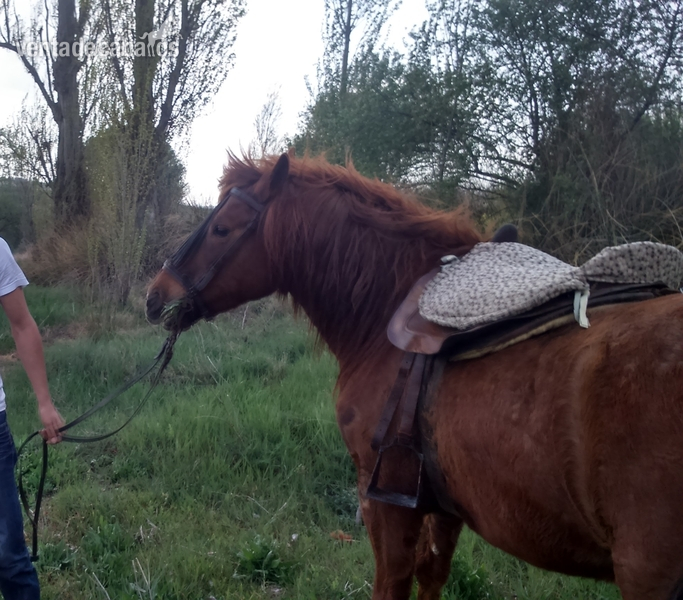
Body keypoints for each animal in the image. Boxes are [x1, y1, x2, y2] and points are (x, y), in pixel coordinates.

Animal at [146, 152, 683, 600]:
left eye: (222, 229)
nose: (156, 295)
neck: (386, 312)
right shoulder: (444, 506)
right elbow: (432, 576)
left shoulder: (385, 500)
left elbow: (394, 582)